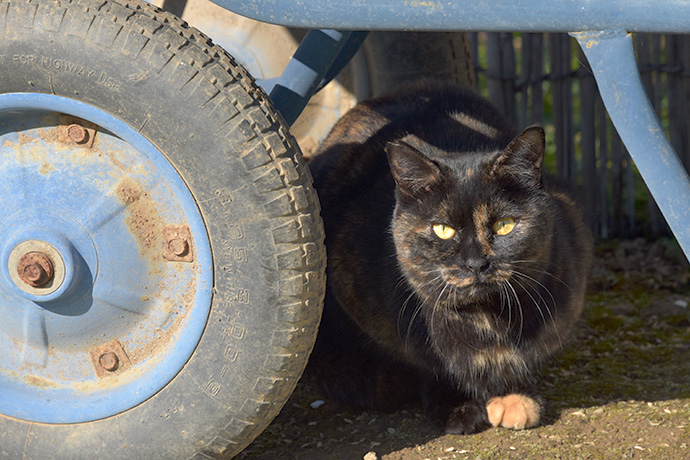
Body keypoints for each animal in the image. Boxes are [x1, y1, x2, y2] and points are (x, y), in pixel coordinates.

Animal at [306, 80, 592, 434]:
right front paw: (457, 406)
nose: (476, 263)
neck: (485, 320)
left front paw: (516, 395)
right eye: (443, 229)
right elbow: (434, 365)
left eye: (504, 225)